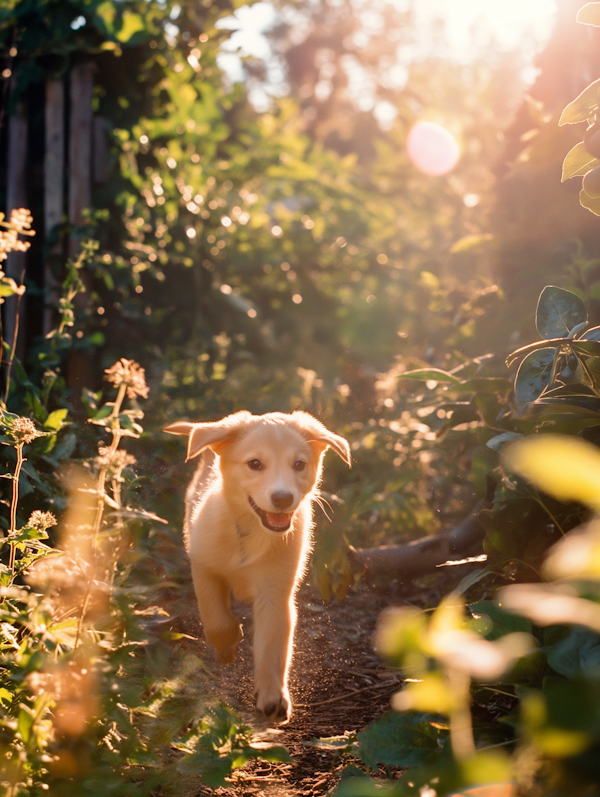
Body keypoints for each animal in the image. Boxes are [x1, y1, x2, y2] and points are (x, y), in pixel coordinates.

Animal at [164, 410, 352, 720]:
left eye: (299, 465)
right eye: (254, 464)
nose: (283, 498)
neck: (250, 530)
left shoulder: (275, 593)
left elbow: (272, 649)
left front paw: (273, 697)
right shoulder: (203, 567)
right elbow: (216, 621)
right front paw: (227, 647)